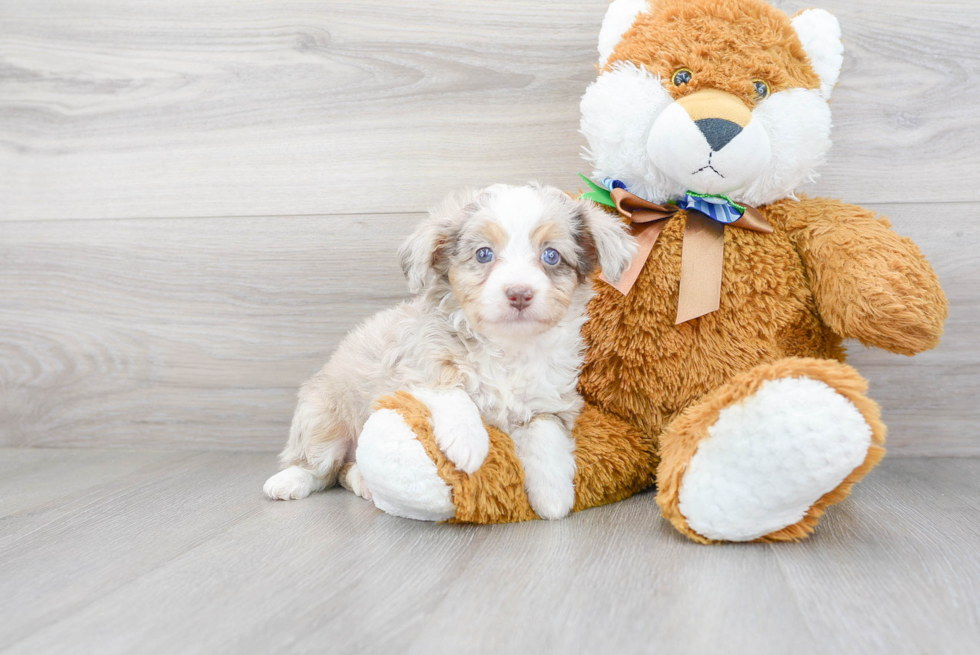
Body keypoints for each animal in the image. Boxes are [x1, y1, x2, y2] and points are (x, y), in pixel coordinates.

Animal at [264, 182, 636, 520]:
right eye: (483, 253)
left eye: (551, 255)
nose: (519, 293)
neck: (506, 346)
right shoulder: (412, 368)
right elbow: (450, 388)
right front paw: (468, 442)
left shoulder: (551, 400)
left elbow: (546, 435)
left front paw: (554, 494)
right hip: (322, 416)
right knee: (321, 467)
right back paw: (288, 481)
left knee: (345, 472)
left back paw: (364, 483)